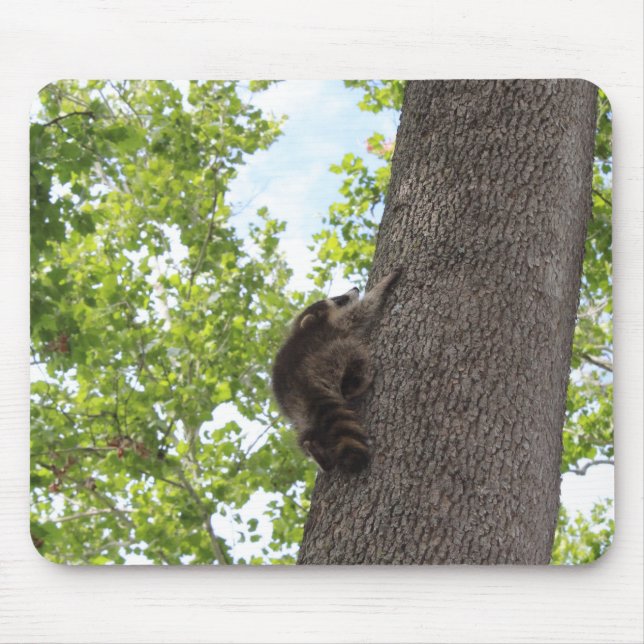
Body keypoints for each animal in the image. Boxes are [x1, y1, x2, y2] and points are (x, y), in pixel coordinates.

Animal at [272, 268, 402, 473]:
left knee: (305, 433)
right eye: (338, 300)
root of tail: (303, 383)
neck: (303, 328)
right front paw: (383, 284)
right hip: (330, 356)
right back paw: (357, 383)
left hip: (298, 411)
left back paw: (316, 451)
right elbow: (362, 309)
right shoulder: (336, 324)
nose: (355, 288)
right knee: (353, 351)